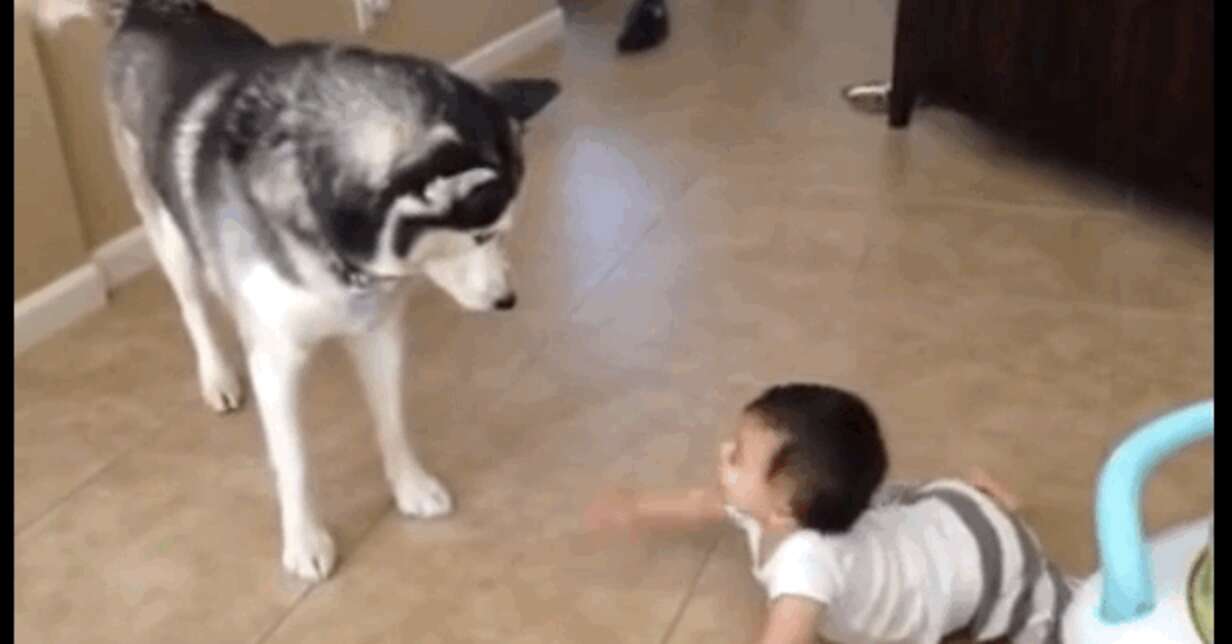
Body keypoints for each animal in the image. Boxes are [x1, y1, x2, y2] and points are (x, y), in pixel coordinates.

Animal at [38, 0, 559, 581]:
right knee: (194, 306)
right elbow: (294, 460)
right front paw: (305, 541)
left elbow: (392, 419)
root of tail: (150, 10)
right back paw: (217, 375)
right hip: (167, 231)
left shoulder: (378, 332)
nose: (508, 301)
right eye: (483, 235)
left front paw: (411, 487)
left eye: (504, 230)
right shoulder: (277, 361)